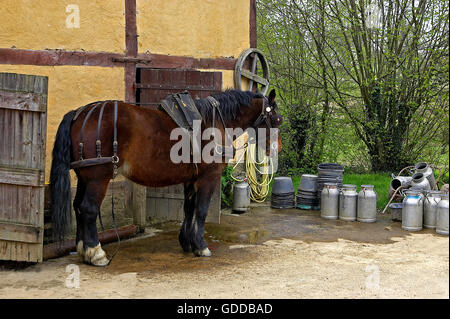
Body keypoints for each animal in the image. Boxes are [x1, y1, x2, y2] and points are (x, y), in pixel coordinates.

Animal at [49, 89, 282, 266]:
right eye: (277, 119)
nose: (276, 148)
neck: (214, 123)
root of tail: (80, 113)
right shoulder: (209, 178)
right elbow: (201, 211)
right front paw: (201, 246)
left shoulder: (191, 178)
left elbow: (189, 209)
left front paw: (187, 242)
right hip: (98, 177)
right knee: (88, 209)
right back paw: (95, 253)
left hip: (84, 176)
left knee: (78, 207)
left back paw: (82, 249)